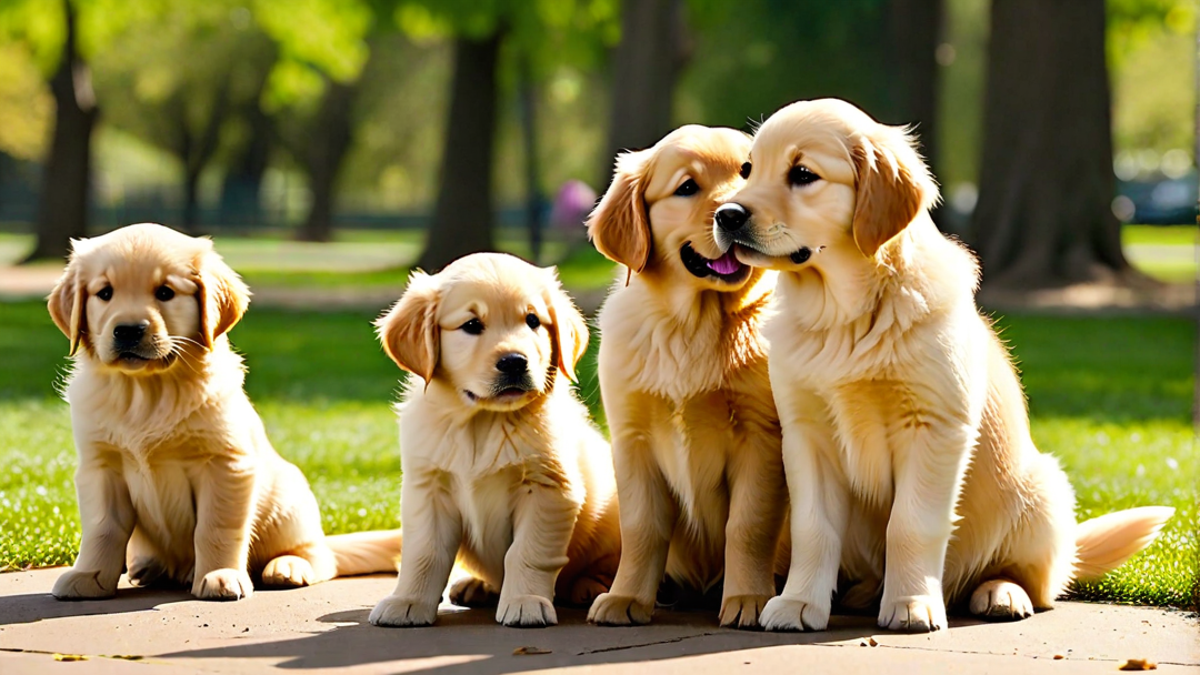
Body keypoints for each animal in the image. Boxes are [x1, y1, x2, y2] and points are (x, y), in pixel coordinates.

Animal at [48, 223, 403, 600]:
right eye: (104, 293)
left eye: (165, 292)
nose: (128, 330)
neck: (147, 391)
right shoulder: (101, 467)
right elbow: (103, 529)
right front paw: (89, 576)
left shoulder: (226, 464)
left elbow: (215, 527)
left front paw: (219, 576)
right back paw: (148, 566)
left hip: (288, 502)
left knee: (320, 556)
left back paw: (288, 567)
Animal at [369, 252, 624, 624]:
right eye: (472, 325)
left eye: (532, 321)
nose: (515, 362)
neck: (482, 422)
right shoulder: (429, 489)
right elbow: (424, 552)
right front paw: (407, 602)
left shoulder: (548, 488)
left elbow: (526, 552)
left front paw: (525, 601)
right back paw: (478, 585)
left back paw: (590, 586)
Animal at [583, 124, 787, 624]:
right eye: (687, 187)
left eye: (749, 172)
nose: (732, 214)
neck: (692, 324)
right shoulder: (632, 439)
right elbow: (641, 527)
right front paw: (627, 598)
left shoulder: (761, 436)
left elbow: (747, 524)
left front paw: (747, 598)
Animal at [710, 98, 1171, 629]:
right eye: (747, 170)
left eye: (803, 174)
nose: (726, 215)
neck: (842, 314)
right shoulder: (805, 433)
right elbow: (813, 526)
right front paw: (800, 602)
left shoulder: (933, 426)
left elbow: (912, 523)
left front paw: (911, 603)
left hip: (1043, 490)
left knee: (1033, 581)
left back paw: (999, 593)